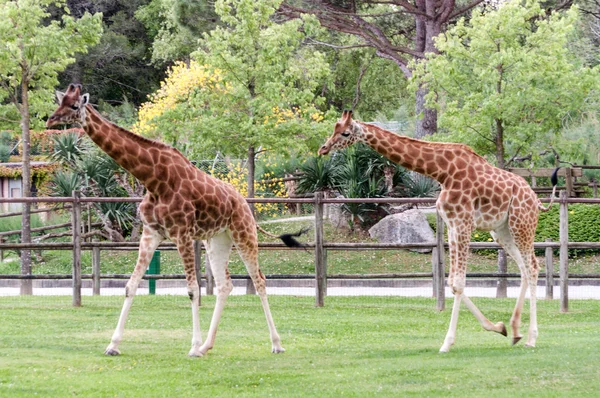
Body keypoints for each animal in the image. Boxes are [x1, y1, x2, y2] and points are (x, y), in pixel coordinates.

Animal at [48, 84, 290, 358]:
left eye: (74, 106)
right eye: (58, 103)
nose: (50, 120)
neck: (153, 179)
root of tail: (244, 202)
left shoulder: (181, 233)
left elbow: (192, 289)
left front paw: (193, 347)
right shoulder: (151, 232)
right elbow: (131, 285)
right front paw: (113, 345)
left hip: (244, 233)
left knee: (259, 280)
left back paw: (275, 344)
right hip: (217, 240)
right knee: (225, 285)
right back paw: (208, 345)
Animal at [318, 110, 556, 352]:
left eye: (345, 133)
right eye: (335, 128)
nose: (323, 148)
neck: (441, 172)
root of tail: (537, 200)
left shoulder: (463, 222)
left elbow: (458, 283)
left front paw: (447, 343)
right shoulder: (452, 224)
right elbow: (451, 283)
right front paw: (499, 327)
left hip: (522, 224)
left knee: (533, 267)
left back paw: (532, 338)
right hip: (502, 231)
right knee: (525, 268)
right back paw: (516, 331)